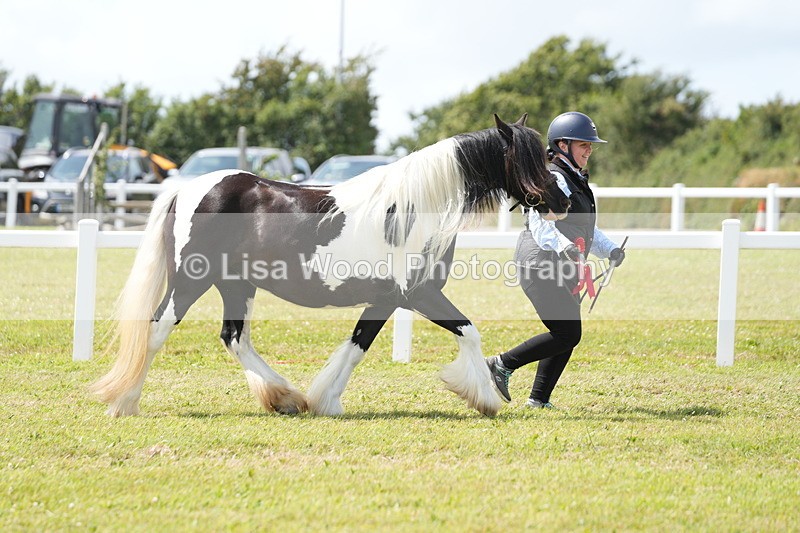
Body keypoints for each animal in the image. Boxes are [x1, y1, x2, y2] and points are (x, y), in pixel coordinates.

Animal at [90, 114, 570, 418]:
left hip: (236, 285)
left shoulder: (386, 300)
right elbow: (469, 331)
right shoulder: (418, 295)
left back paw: (285, 398)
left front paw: (326, 401)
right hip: (192, 281)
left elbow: (357, 346)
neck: (412, 209)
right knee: (156, 329)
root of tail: (187, 189)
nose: (562, 199)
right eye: (526, 158)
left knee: (234, 338)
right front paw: (484, 398)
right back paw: (125, 403)